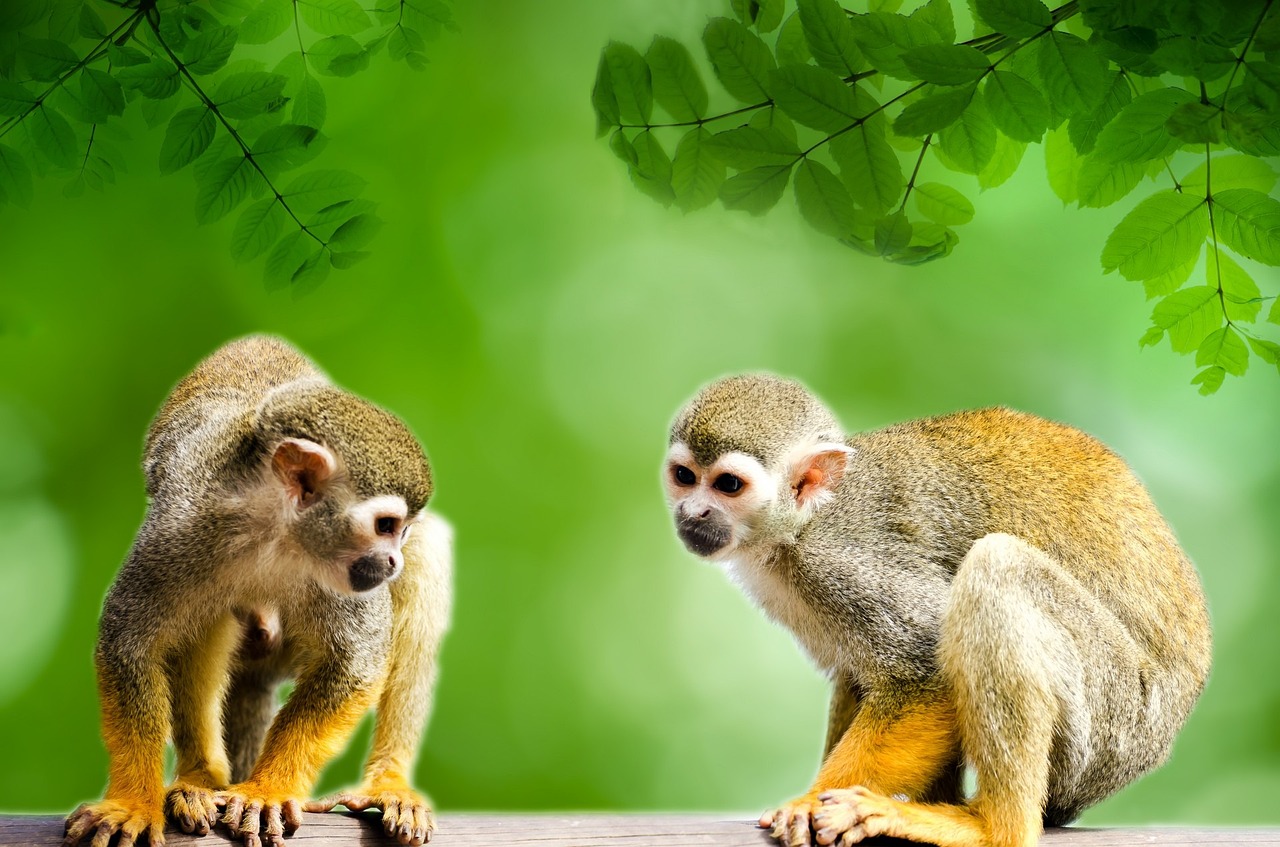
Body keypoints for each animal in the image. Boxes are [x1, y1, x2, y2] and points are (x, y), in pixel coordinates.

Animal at [64, 335, 452, 847]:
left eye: (399, 531)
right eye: (386, 526)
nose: (392, 561)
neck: (275, 529)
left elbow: (356, 662)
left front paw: (266, 791)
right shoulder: (180, 525)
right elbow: (129, 641)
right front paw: (132, 802)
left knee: (426, 558)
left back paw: (389, 783)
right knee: (209, 618)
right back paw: (201, 779)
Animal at [663, 374, 1211, 847]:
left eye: (728, 486)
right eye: (684, 478)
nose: (692, 513)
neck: (801, 525)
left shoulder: (843, 562)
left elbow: (926, 668)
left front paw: (811, 801)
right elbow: (862, 675)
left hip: (1114, 717)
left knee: (995, 568)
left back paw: (993, 827)